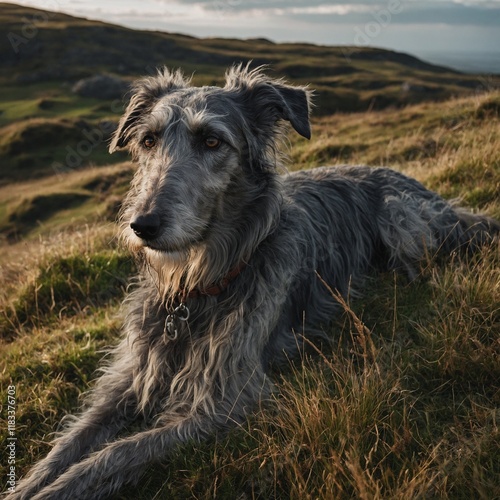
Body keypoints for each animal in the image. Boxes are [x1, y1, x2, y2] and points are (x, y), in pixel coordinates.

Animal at [8, 66, 500, 500]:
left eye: (212, 140)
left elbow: (113, 456)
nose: (142, 225)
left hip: (402, 216)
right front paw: (26, 486)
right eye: (148, 140)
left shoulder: (226, 397)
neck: (199, 288)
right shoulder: (133, 374)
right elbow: (68, 445)